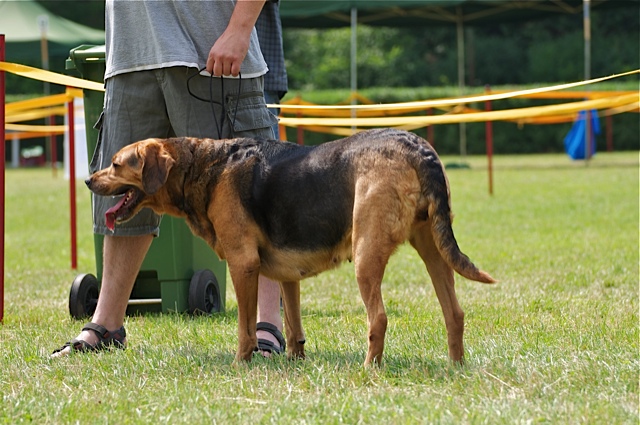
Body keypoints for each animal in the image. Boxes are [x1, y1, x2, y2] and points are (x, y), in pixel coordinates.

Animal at [85, 128, 496, 364]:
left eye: (116, 164)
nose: (88, 180)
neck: (203, 165)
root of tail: (417, 146)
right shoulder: (287, 275)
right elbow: (294, 325)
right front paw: (295, 362)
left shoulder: (243, 265)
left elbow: (246, 327)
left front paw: (242, 362)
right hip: (434, 250)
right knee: (454, 313)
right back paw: (456, 367)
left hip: (367, 256)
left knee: (378, 318)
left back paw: (369, 370)